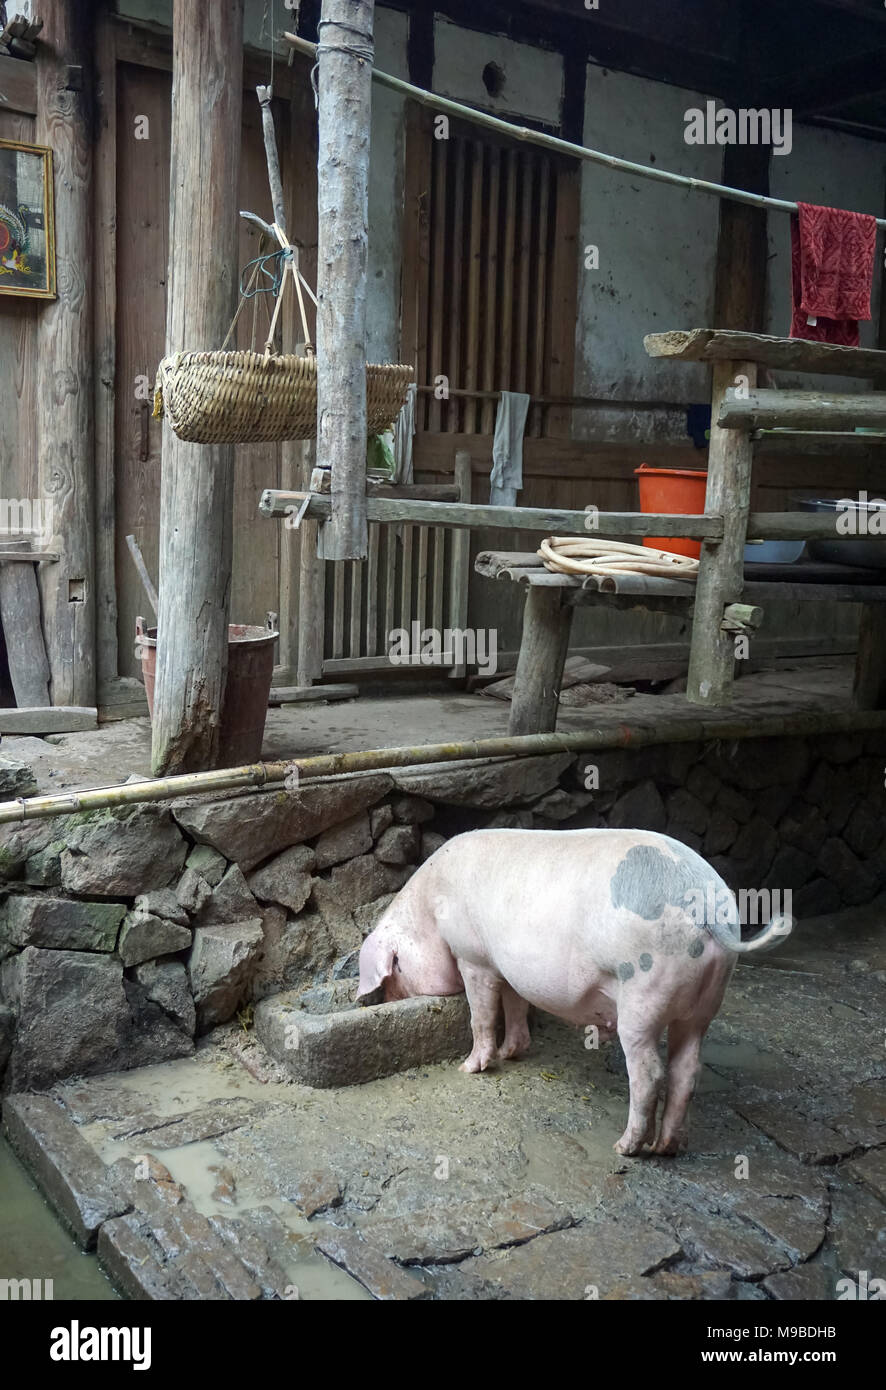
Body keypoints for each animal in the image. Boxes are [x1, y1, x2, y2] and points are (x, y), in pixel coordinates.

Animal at [356, 828, 790, 1156]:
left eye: (395, 970)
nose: (386, 1000)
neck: (431, 908)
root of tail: (709, 909)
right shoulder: (510, 965)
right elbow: (515, 1005)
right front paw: (512, 1053)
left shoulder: (473, 956)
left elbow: (482, 1014)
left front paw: (470, 1067)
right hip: (705, 1002)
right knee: (687, 1069)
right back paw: (668, 1147)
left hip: (644, 992)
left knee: (650, 1071)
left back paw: (626, 1148)